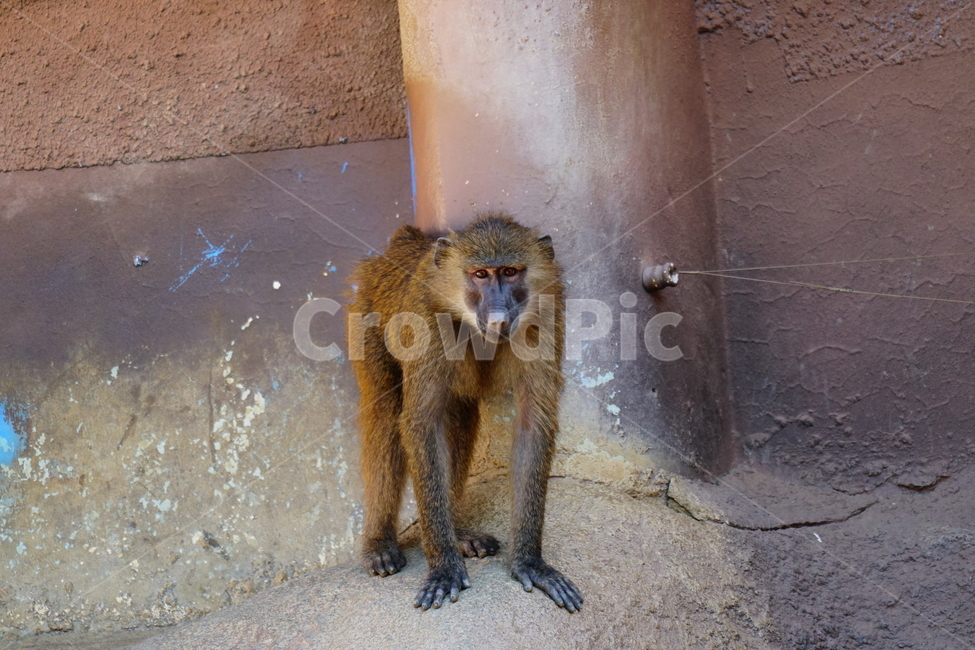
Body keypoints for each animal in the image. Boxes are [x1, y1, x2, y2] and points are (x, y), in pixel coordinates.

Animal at [347, 213, 583, 612]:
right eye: (480, 275)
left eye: (510, 272)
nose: (499, 316)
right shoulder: (425, 319)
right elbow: (422, 423)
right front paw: (443, 565)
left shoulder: (546, 314)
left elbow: (533, 424)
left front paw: (530, 563)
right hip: (365, 316)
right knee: (386, 415)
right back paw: (380, 543)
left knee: (461, 415)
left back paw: (457, 531)